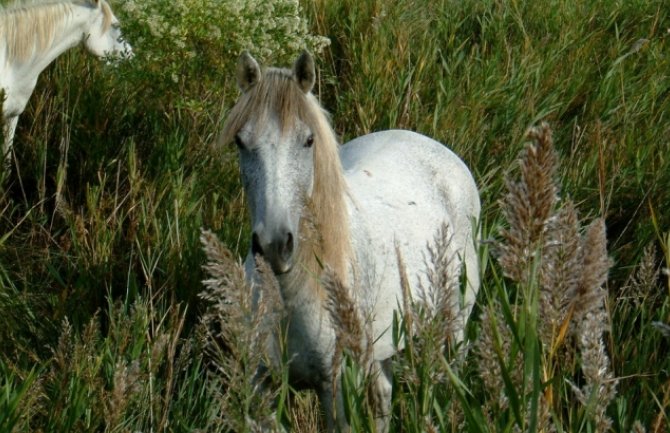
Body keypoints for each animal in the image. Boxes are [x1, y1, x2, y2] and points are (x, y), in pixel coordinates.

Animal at [220, 52, 484, 430]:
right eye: (241, 142)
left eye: (308, 140)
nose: (274, 246)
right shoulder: (260, 388)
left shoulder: (337, 390)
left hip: (455, 324)